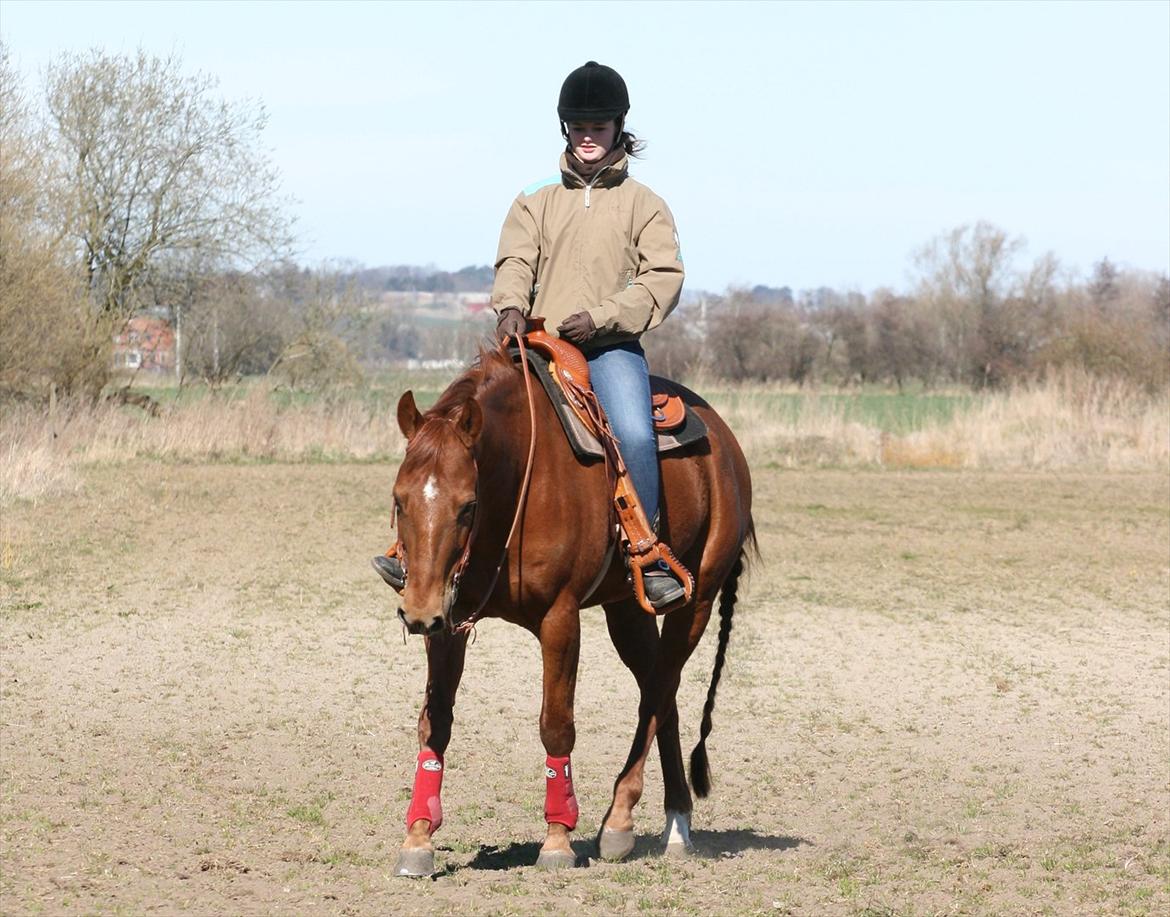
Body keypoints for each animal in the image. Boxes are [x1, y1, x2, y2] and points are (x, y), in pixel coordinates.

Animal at [379, 343, 753, 874]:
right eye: (399, 499)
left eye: (467, 505)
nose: (416, 611)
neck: (516, 483)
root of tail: (725, 442)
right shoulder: (449, 621)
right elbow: (435, 724)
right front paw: (418, 836)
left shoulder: (560, 617)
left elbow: (556, 726)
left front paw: (557, 839)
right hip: (628, 611)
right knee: (663, 693)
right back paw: (676, 821)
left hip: (696, 602)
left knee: (659, 691)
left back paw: (619, 821)